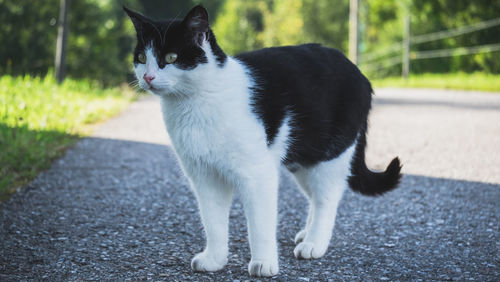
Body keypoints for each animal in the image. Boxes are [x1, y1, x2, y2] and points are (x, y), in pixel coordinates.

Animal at [125, 4, 402, 278]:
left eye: (171, 58)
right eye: (142, 59)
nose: (148, 77)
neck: (196, 103)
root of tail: (360, 74)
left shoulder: (257, 173)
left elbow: (260, 224)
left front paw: (264, 263)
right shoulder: (204, 177)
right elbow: (213, 221)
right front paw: (215, 259)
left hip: (330, 156)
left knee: (328, 198)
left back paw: (314, 243)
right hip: (303, 160)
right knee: (314, 196)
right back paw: (306, 233)